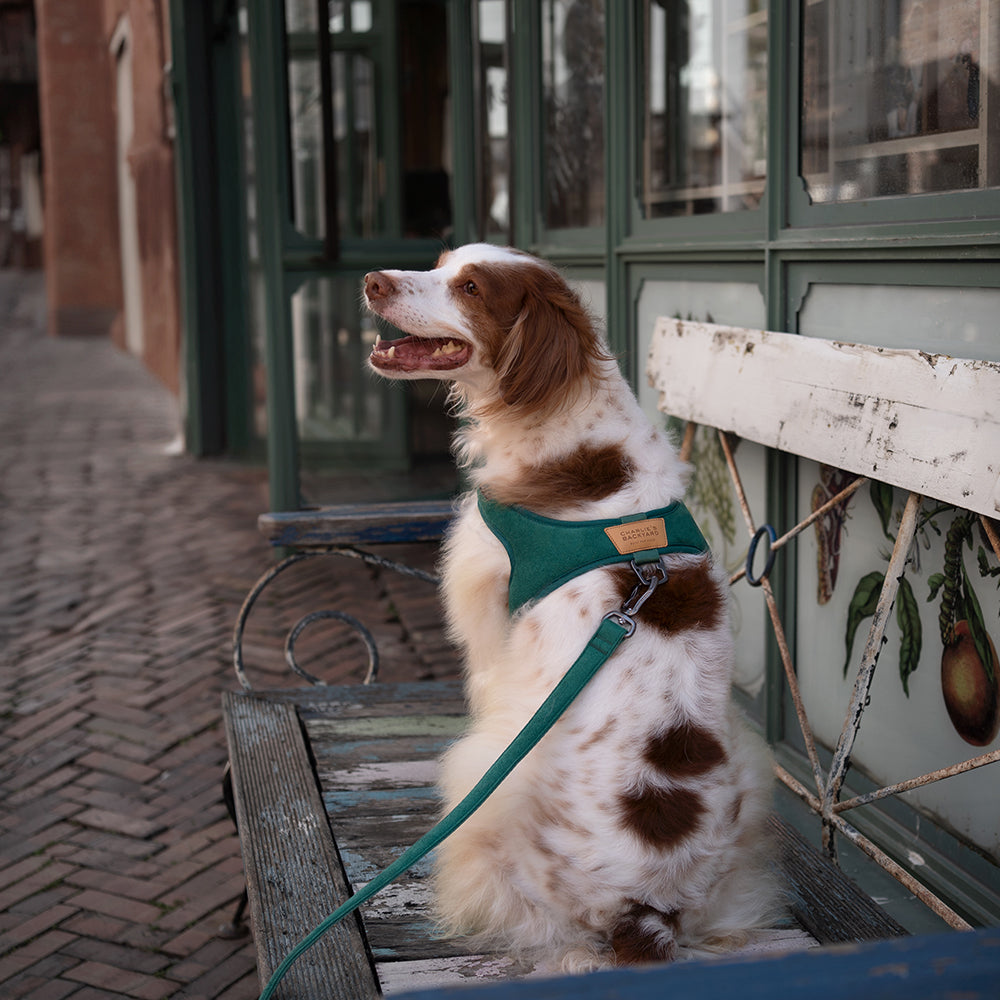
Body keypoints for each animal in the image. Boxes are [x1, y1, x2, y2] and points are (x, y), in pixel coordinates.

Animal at [364, 246, 776, 972]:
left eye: (472, 287)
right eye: (442, 263)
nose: (371, 281)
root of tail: (647, 915)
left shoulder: (491, 628)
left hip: (482, 787)